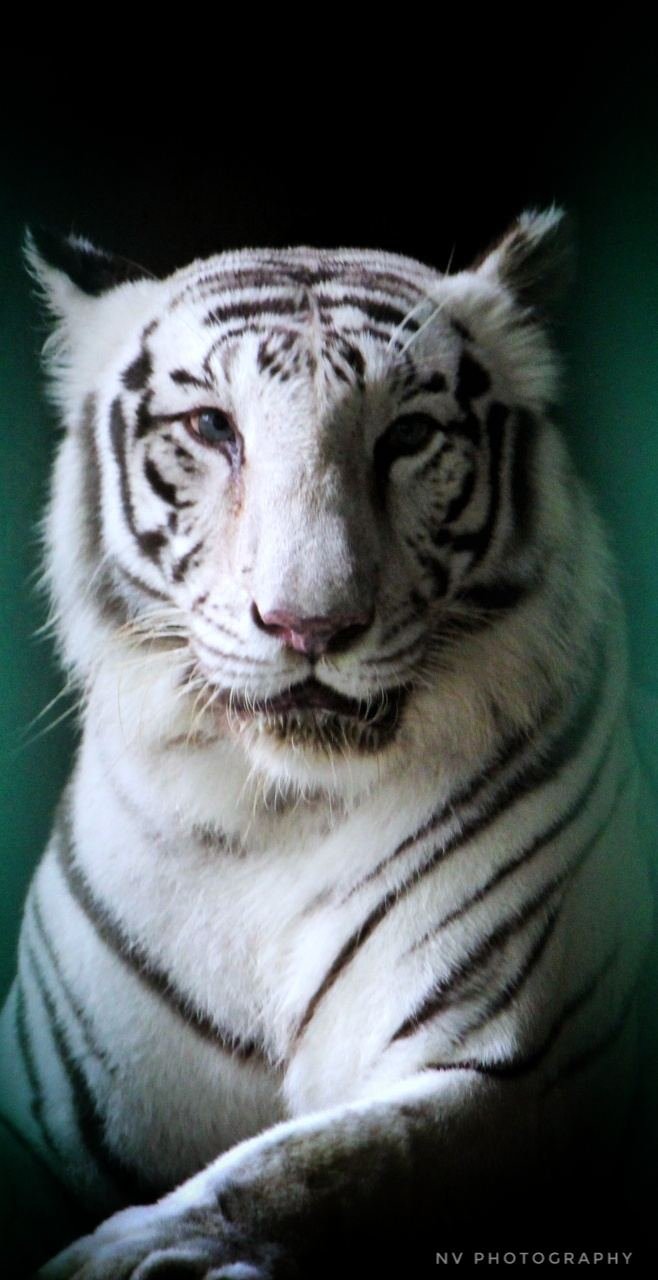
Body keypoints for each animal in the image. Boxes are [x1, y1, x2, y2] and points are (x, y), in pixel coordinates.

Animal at [0, 209, 653, 1278]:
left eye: (408, 435)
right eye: (213, 428)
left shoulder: (519, 1061)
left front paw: (138, 1251)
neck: (268, 812)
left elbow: (320, 1162)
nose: (310, 624)